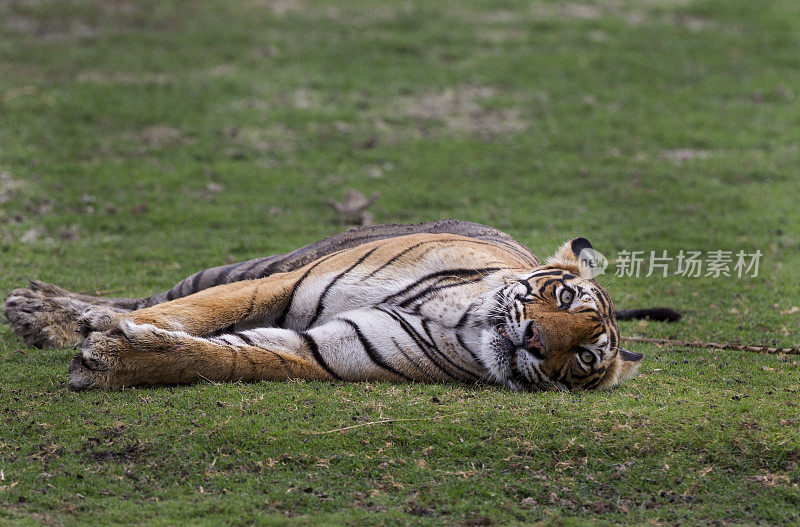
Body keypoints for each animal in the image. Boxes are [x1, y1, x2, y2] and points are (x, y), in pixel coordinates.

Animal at [1, 220, 648, 392]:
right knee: (158, 293)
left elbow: (226, 356)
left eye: (586, 359)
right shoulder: (286, 282)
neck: (463, 318)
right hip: (261, 262)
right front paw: (109, 330)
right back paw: (36, 311)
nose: (537, 341)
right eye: (563, 295)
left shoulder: (330, 348)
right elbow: (197, 310)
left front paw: (110, 360)